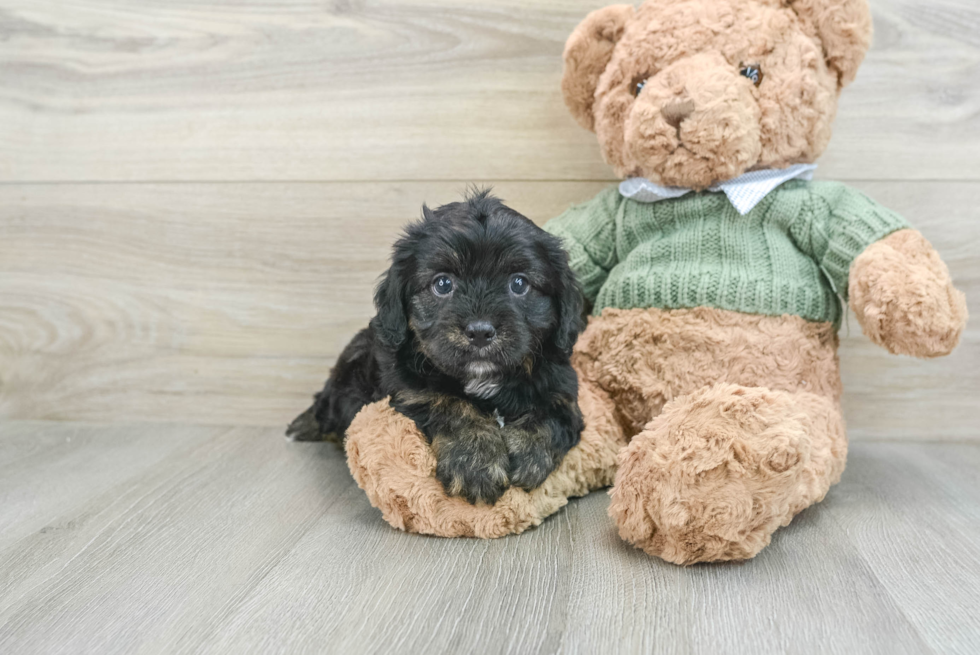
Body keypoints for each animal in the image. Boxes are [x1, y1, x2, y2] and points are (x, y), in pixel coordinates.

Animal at [288, 188, 584, 502]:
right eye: (442, 284)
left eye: (519, 284)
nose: (480, 332)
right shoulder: (408, 388)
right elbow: (446, 402)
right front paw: (476, 460)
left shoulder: (563, 387)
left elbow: (553, 414)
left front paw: (529, 453)